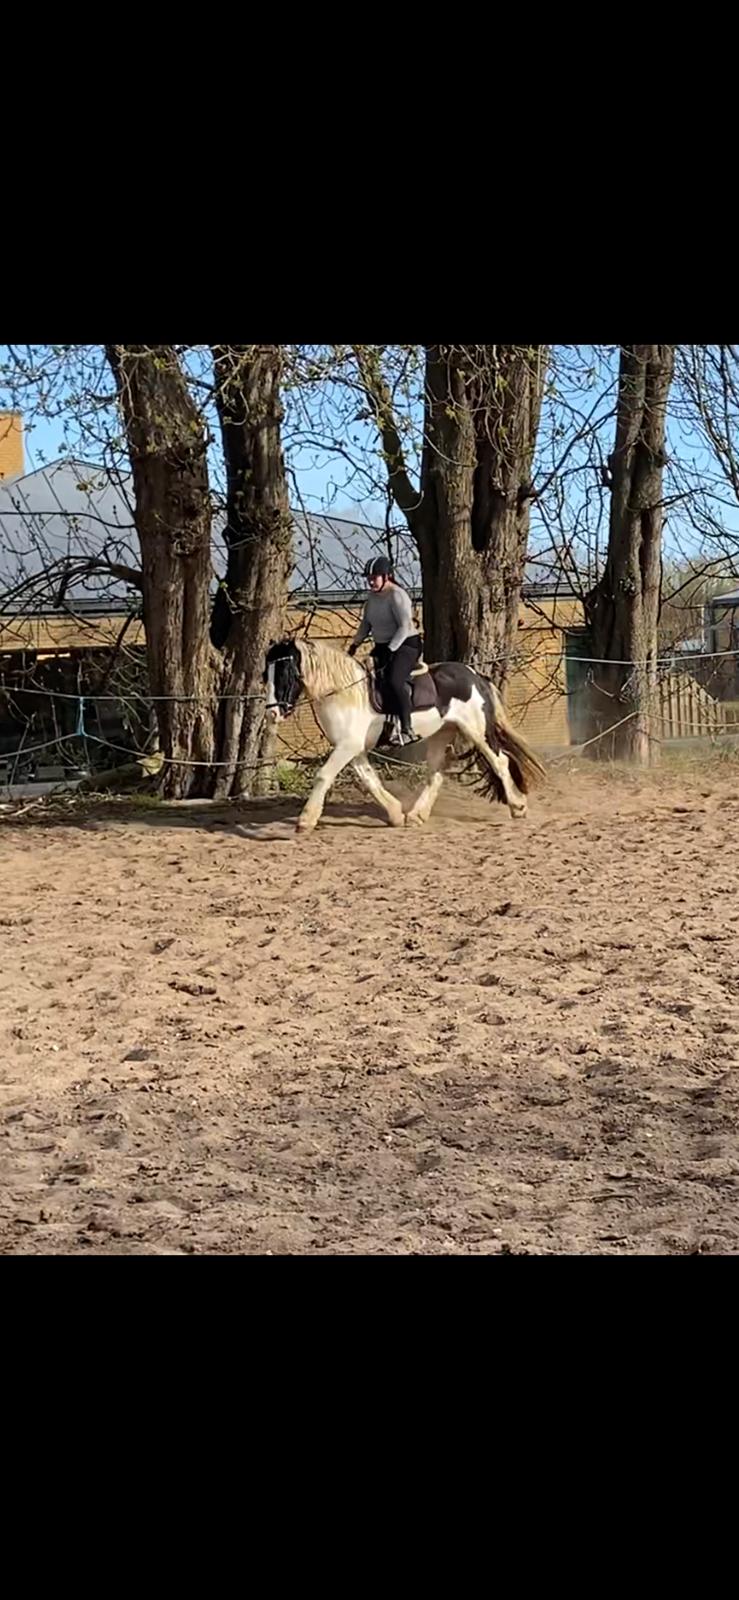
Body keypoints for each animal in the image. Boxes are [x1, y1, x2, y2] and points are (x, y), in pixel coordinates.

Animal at [262, 636, 547, 838]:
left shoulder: (348, 746)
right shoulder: (354, 749)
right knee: (436, 774)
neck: (343, 694)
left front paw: (305, 821)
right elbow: (371, 781)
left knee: (499, 763)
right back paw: (417, 816)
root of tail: (475, 677)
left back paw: (518, 807)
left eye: (286, 672)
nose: (272, 713)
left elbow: (324, 775)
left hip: (477, 731)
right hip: (441, 733)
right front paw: (396, 814)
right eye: (266, 675)